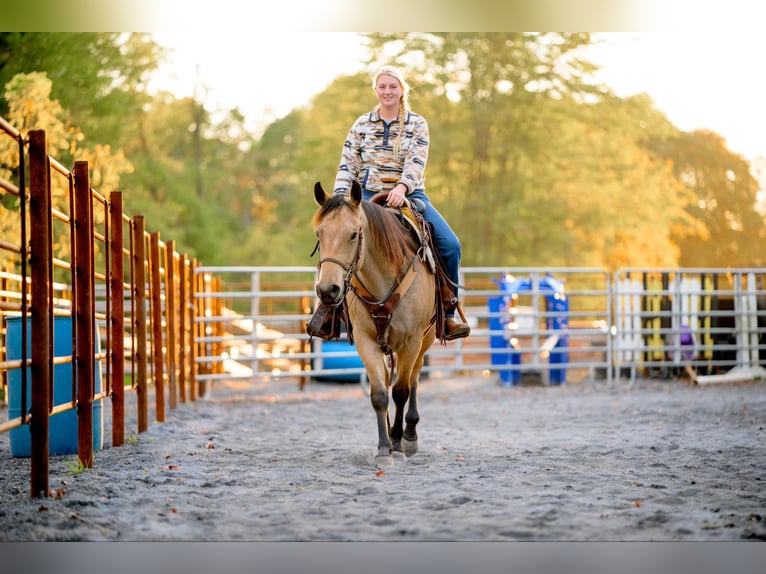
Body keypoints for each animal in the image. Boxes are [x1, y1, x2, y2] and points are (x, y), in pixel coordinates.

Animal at [312, 181, 444, 468]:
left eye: (353, 234)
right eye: (319, 233)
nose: (328, 290)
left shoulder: (411, 340)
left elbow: (401, 391)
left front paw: (397, 444)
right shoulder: (365, 341)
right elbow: (379, 394)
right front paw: (384, 448)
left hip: (425, 339)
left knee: (415, 376)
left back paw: (409, 436)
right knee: (386, 377)